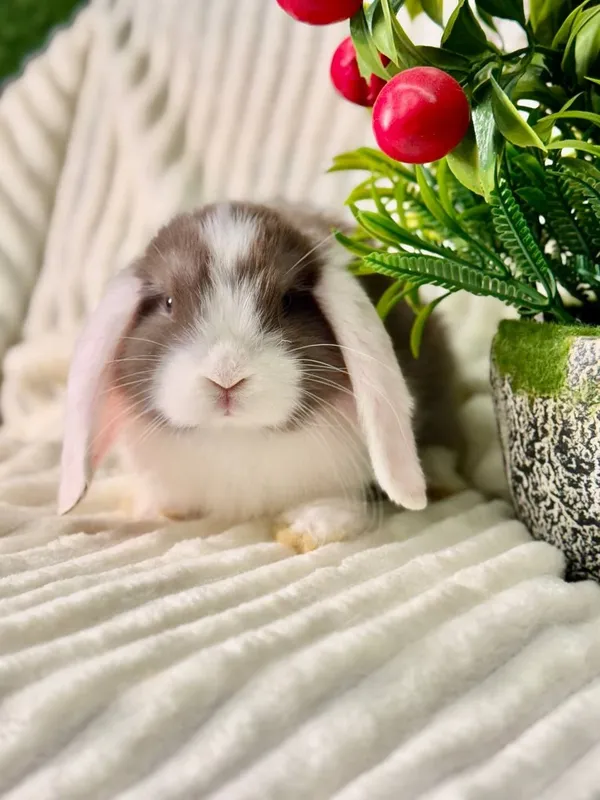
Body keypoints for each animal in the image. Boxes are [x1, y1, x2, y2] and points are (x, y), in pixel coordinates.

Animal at [58, 201, 465, 552]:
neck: (236, 438)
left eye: (288, 302)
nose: (226, 376)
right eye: (168, 303)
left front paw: (309, 527)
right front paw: (157, 507)